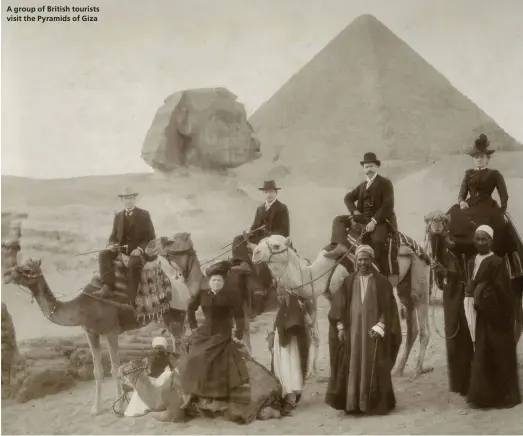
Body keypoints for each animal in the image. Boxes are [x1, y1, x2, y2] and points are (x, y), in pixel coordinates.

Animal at [2, 255, 194, 416]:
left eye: (27, 269)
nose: (6, 274)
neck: (83, 307)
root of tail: (183, 287)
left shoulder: (111, 331)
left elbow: (115, 369)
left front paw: (120, 406)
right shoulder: (91, 333)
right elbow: (97, 371)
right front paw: (96, 409)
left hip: (177, 313)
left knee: (181, 343)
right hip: (167, 317)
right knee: (176, 343)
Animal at [252, 233, 432, 380]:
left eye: (276, 246)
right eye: (259, 242)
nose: (255, 253)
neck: (318, 274)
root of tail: (421, 248)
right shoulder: (330, 297)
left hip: (419, 273)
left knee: (422, 320)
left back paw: (417, 371)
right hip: (404, 286)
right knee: (412, 326)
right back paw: (398, 370)